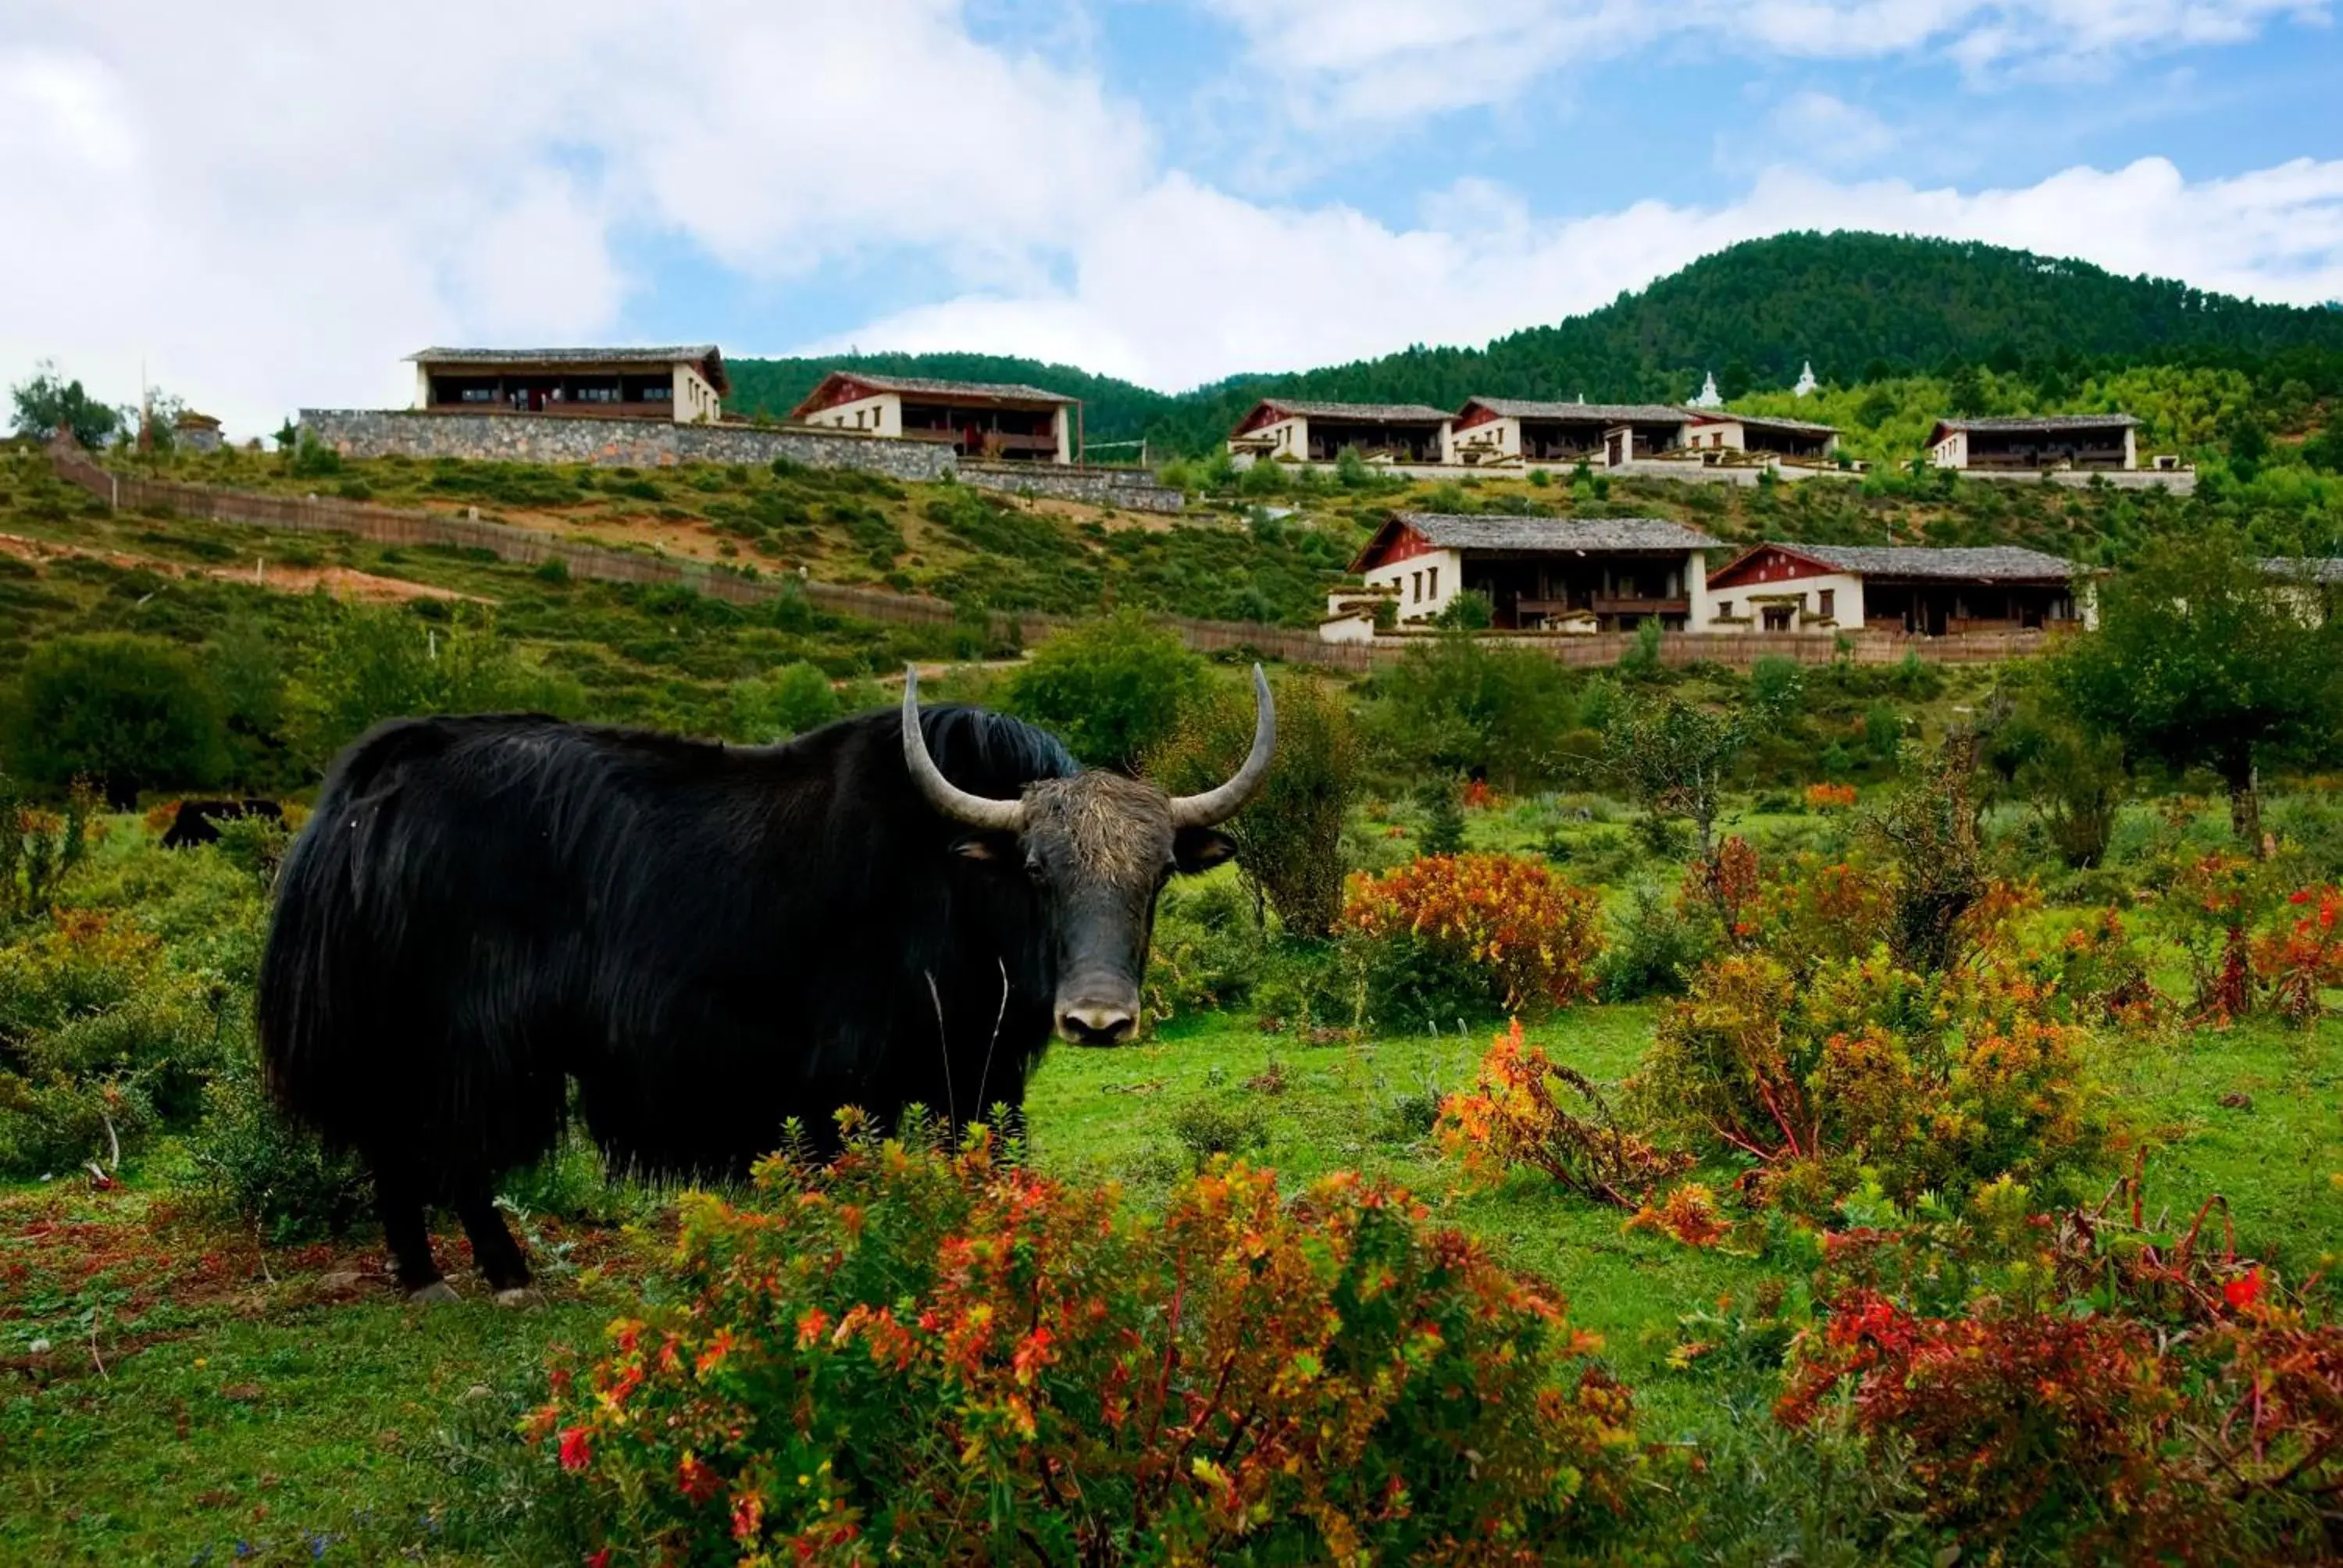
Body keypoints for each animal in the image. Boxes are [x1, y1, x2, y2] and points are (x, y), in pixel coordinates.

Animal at [256, 670, 1275, 1293]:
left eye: (1156, 878)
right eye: (1036, 870)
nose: (1098, 1018)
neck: (950, 877)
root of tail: (366, 792)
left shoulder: (975, 1076)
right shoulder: (853, 1075)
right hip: (459, 1038)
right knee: (441, 1154)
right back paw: (493, 1274)